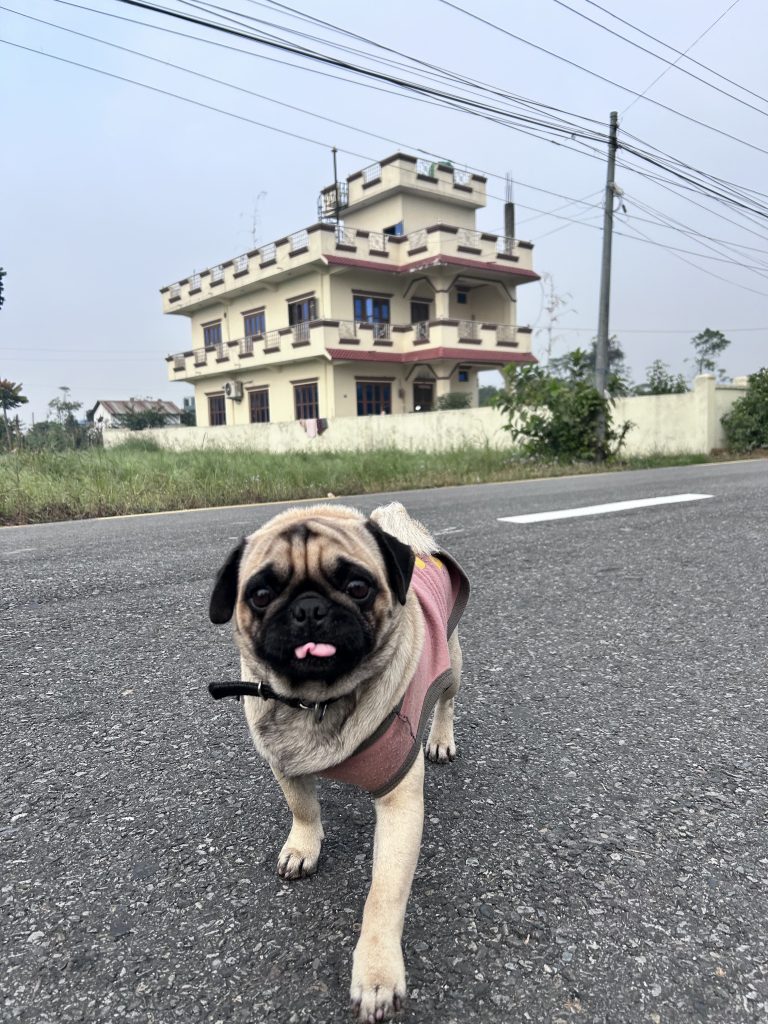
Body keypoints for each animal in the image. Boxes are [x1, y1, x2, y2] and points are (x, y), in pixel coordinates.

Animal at [207, 499, 468, 1019]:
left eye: (357, 588)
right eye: (260, 595)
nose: (309, 609)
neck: (318, 701)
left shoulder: (399, 803)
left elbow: (383, 894)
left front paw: (377, 973)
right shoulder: (283, 759)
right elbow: (303, 808)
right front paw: (303, 847)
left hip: (452, 666)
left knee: (446, 700)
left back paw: (440, 738)